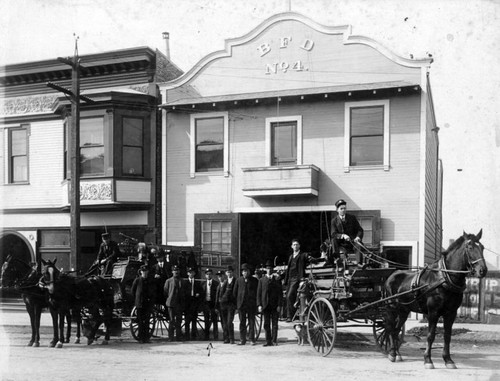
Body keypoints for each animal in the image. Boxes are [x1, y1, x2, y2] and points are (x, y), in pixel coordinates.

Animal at [382, 229, 488, 368]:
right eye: (470, 247)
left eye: (482, 247)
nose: (483, 270)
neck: (444, 278)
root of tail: (392, 275)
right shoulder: (433, 312)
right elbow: (430, 336)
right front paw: (428, 360)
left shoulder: (451, 313)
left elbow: (447, 336)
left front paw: (448, 360)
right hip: (391, 308)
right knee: (389, 328)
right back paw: (392, 353)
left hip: (404, 310)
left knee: (396, 330)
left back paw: (397, 354)